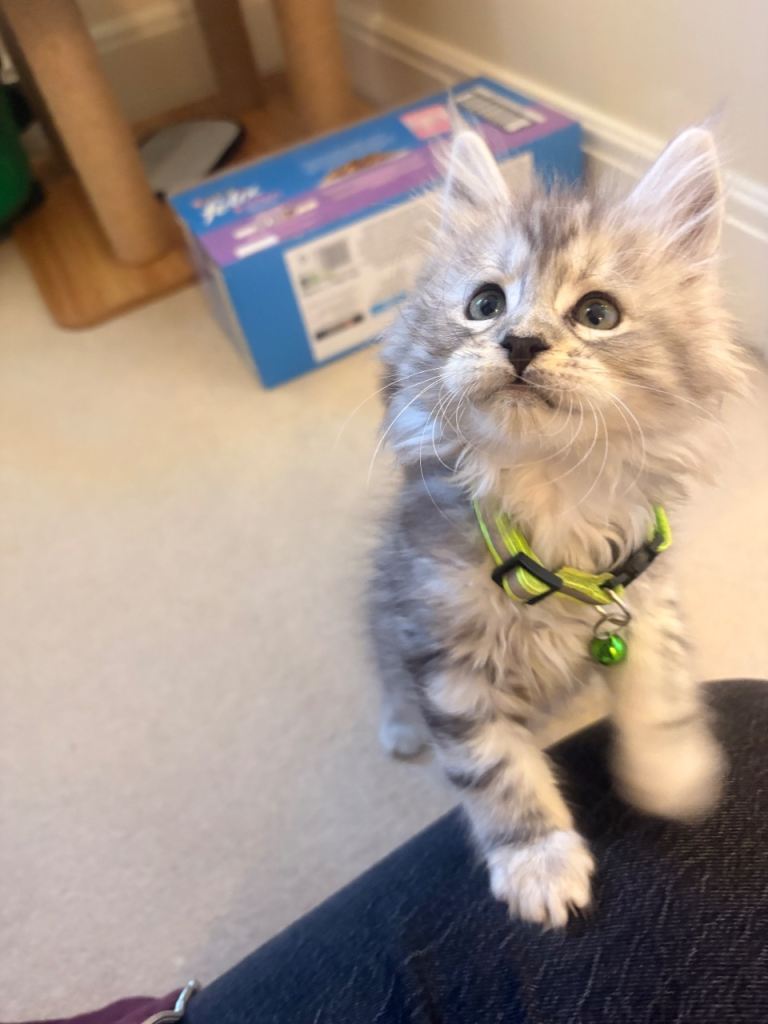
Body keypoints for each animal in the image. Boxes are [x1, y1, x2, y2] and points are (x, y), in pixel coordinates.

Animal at [369, 125, 745, 928]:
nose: (519, 342)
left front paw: (674, 775)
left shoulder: (643, 599)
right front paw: (538, 860)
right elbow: (494, 767)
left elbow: (660, 694)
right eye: (484, 303)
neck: (549, 495)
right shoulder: (444, 652)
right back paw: (401, 727)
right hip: (387, 600)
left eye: (598, 314)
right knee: (385, 663)